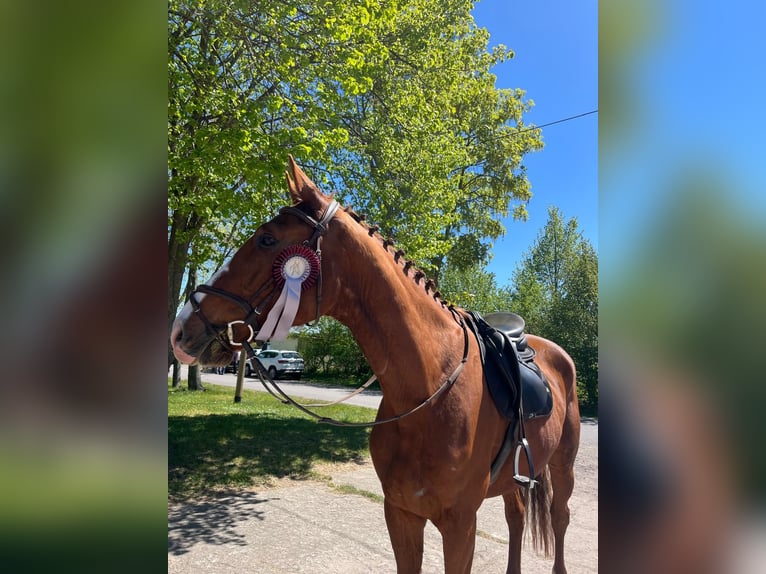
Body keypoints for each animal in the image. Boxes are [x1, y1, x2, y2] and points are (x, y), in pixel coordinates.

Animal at [171, 157, 581, 574]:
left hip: (563, 464)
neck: (428, 391)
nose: (181, 330)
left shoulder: (461, 525)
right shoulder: (400, 514)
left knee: (559, 517)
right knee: (517, 516)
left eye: (266, 240)